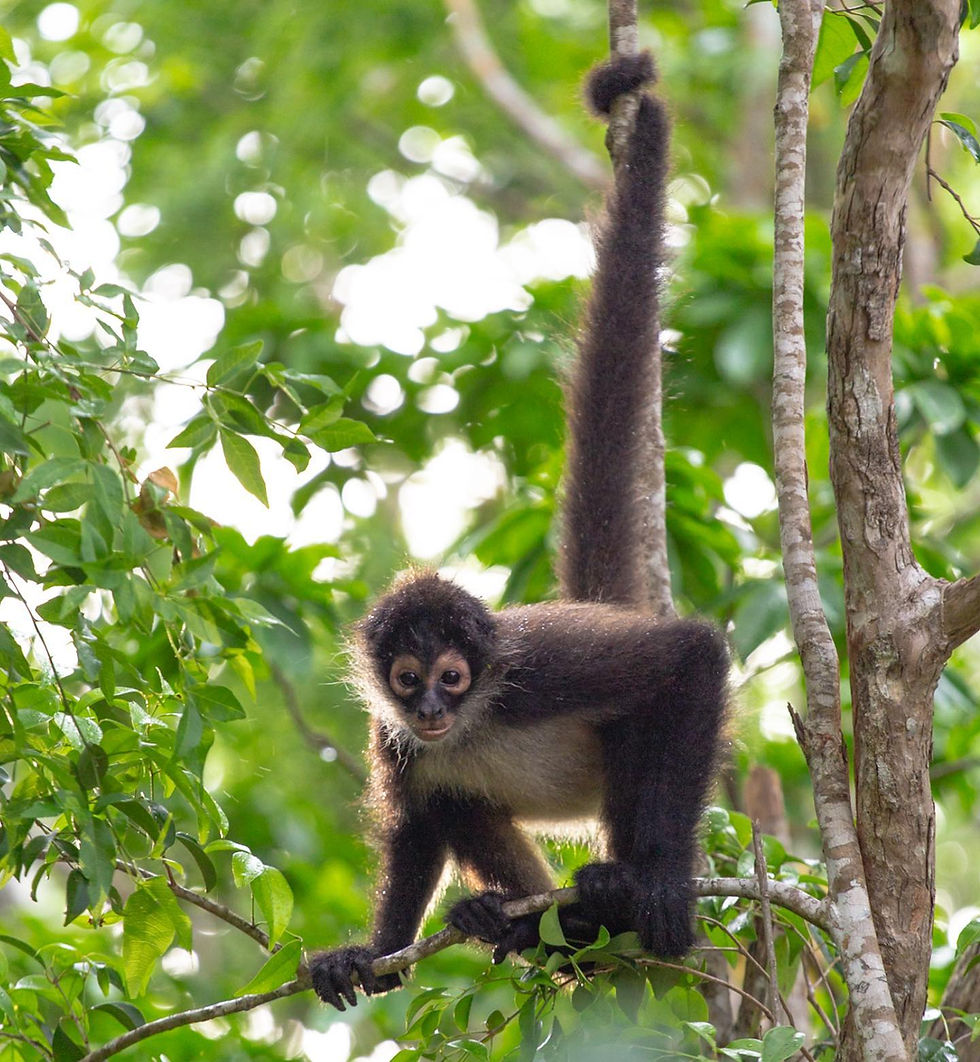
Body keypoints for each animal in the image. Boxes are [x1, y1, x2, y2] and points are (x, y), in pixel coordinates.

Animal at [309, 52, 729, 1011]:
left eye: (454, 678)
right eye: (407, 679)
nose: (430, 710)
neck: (475, 722)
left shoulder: (543, 670)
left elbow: (694, 656)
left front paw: (660, 880)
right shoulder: (393, 740)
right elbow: (416, 821)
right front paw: (374, 952)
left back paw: (609, 903)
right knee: (454, 802)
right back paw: (529, 930)